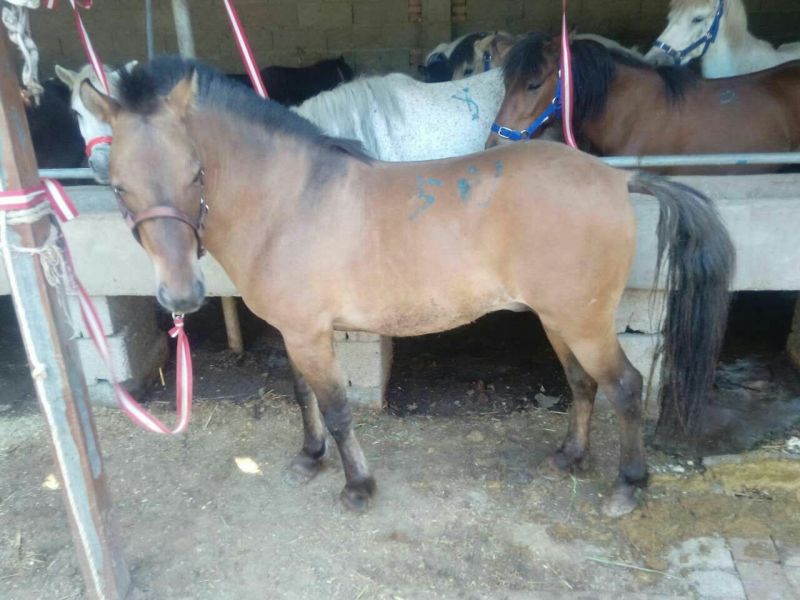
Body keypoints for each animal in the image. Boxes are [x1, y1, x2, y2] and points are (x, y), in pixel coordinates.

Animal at [79, 55, 734, 517]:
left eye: (196, 173)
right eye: (118, 186)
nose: (181, 297)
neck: (290, 200)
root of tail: (617, 180)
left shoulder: (312, 334)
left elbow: (338, 408)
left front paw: (357, 487)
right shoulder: (296, 331)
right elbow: (302, 394)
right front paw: (309, 459)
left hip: (586, 321)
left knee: (624, 386)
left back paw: (628, 486)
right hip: (558, 319)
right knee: (581, 384)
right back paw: (569, 457)